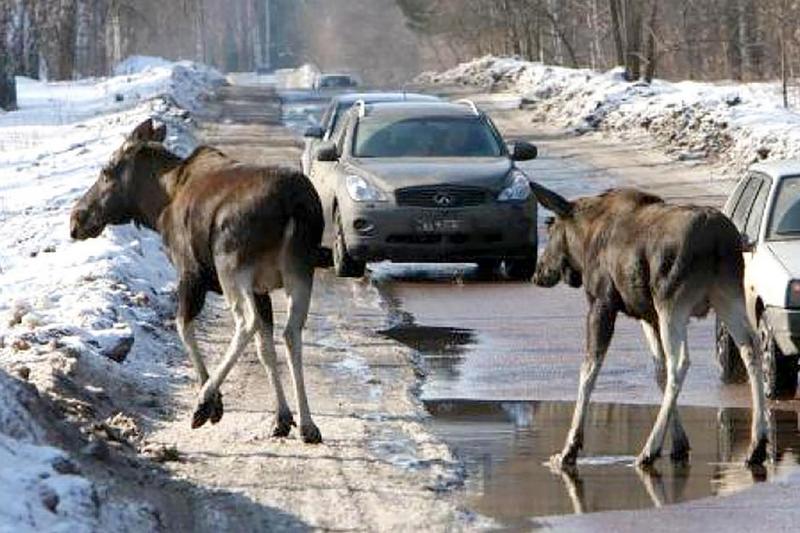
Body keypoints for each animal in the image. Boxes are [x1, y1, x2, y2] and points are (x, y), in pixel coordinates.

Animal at [70, 118, 326, 442]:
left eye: (106, 171)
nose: (76, 219)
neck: (159, 204)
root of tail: (294, 205)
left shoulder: (190, 273)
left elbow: (183, 326)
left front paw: (213, 401)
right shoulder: (261, 289)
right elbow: (265, 349)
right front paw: (281, 417)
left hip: (231, 266)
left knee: (246, 322)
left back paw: (204, 401)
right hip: (300, 270)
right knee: (291, 332)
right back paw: (308, 424)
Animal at [532, 185, 768, 468]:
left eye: (550, 229)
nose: (538, 272)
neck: (585, 238)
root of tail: (719, 241)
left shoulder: (603, 303)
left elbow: (589, 370)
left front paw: (569, 449)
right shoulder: (647, 315)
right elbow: (659, 370)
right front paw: (679, 443)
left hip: (673, 301)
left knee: (681, 362)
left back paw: (649, 449)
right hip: (726, 294)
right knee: (750, 346)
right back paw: (757, 445)